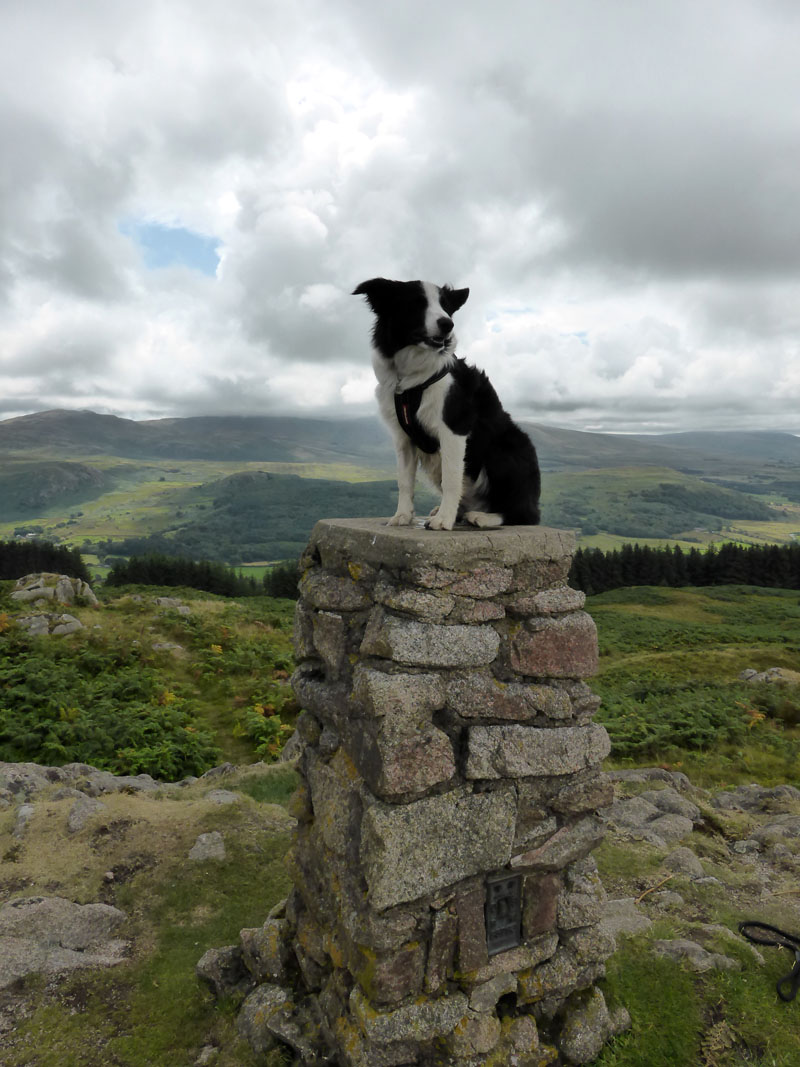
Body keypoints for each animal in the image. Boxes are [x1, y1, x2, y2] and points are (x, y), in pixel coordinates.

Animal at [354, 277, 541, 531]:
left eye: (445, 306)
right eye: (417, 303)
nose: (447, 324)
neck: (410, 376)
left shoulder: (454, 429)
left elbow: (452, 478)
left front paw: (443, 520)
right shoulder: (403, 438)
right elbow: (404, 481)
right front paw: (402, 515)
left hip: (504, 450)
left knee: (524, 515)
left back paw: (483, 517)